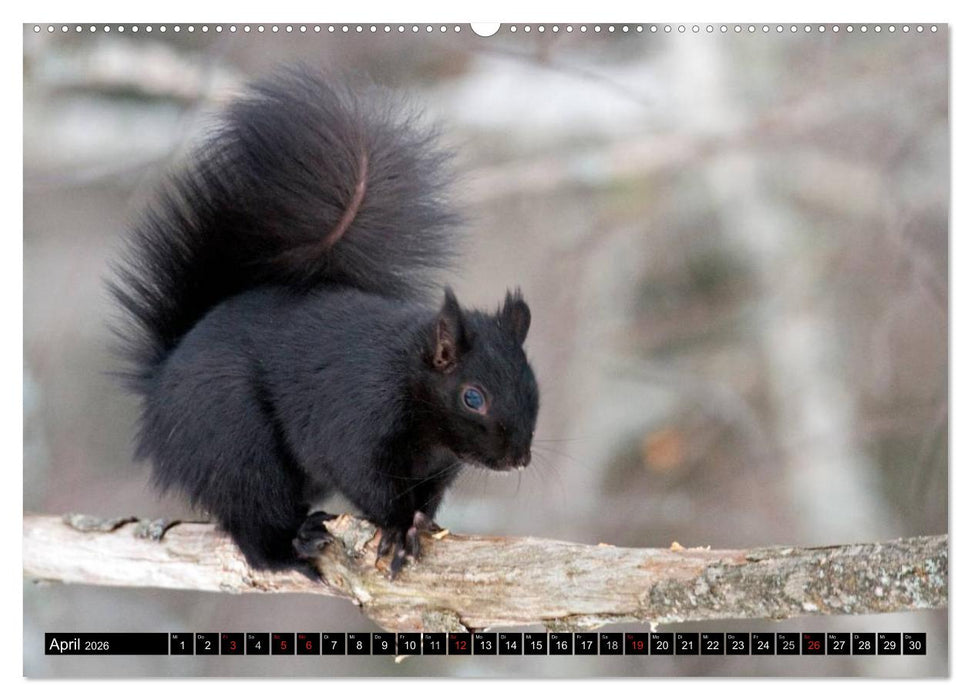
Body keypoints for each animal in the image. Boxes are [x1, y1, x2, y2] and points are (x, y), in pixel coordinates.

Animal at [110, 68, 539, 579]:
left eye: (533, 386)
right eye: (473, 397)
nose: (519, 459)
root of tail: (158, 386)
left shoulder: (437, 469)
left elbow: (427, 498)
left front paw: (422, 523)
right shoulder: (353, 427)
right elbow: (367, 483)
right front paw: (398, 528)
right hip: (234, 439)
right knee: (253, 522)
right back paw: (293, 548)